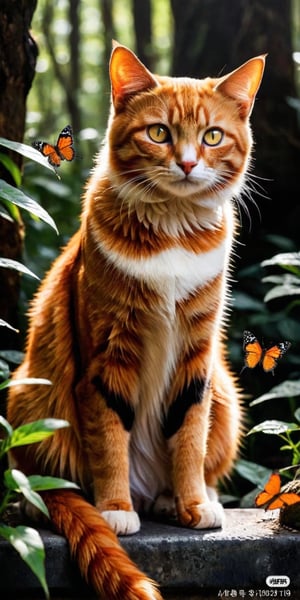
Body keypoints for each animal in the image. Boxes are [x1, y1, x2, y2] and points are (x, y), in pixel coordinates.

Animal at [7, 43, 264, 600]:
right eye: (159, 133)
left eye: (212, 136)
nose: (187, 163)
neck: (172, 230)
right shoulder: (108, 351)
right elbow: (109, 437)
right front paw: (115, 509)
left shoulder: (197, 352)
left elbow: (188, 433)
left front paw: (193, 504)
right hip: (27, 396)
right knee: (40, 481)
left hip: (225, 393)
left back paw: (172, 499)